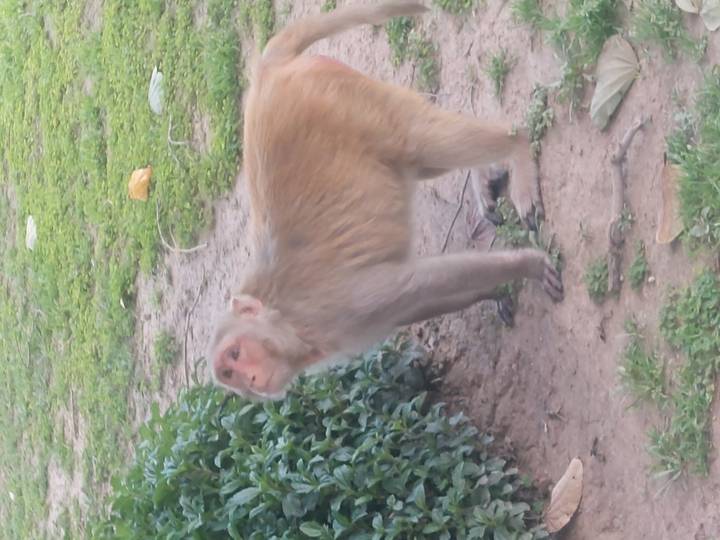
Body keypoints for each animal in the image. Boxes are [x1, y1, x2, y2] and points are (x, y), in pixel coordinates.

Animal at [209, 0, 563, 400]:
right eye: (230, 374)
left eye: (236, 354)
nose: (250, 380)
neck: (288, 324)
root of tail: (266, 75)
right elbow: (416, 305)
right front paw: (495, 292)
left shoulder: (332, 310)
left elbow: (417, 283)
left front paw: (529, 265)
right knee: (417, 161)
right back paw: (484, 177)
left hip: (340, 98)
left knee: (420, 141)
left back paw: (515, 148)